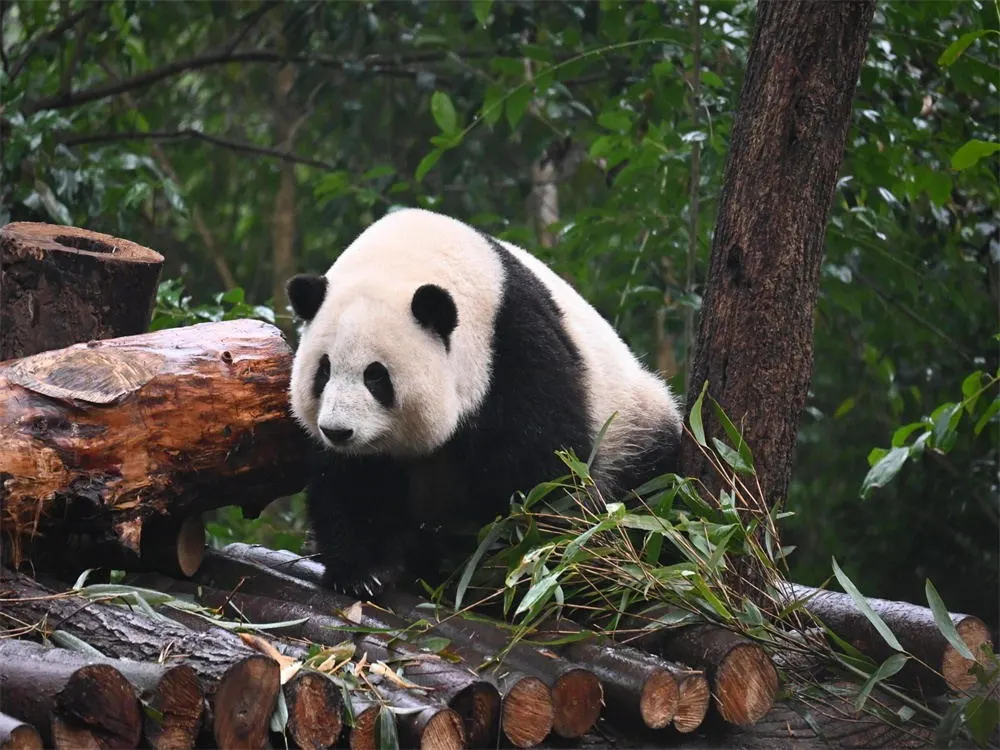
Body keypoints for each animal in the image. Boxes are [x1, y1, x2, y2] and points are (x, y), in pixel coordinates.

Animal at [286, 207, 683, 598]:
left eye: (376, 376)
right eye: (323, 371)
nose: (338, 431)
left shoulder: (514, 352)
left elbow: (541, 478)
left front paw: (494, 568)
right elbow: (350, 482)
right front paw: (364, 573)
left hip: (632, 427)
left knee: (648, 492)